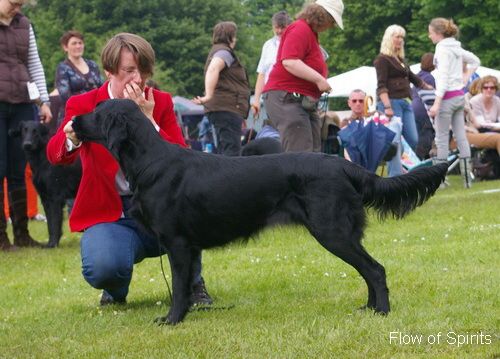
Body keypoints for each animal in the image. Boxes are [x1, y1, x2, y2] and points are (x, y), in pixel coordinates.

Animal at [71, 100, 450, 328]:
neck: (150, 161)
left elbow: (179, 288)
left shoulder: (178, 243)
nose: (72, 120)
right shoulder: (187, 246)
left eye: (96, 111)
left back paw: (381, 311)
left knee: (374, 269)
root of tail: (343, 164)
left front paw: (172, 319)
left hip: (332, 231)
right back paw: (369, 308)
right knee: (369, 270)